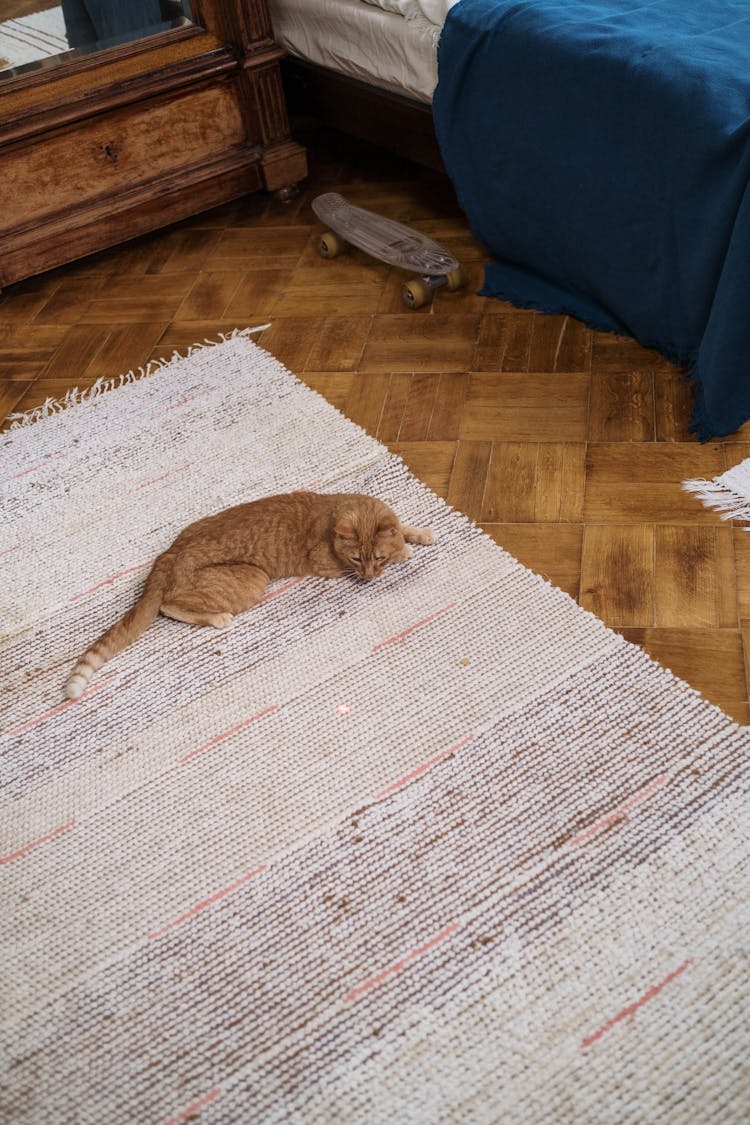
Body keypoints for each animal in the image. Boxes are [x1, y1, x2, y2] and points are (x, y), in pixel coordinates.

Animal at [64, 490, 434, 697]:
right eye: (358, 559)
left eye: (376, 558)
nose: (370, 577)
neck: (331, 514)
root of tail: (167, 555)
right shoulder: (328, 564)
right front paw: (404, 550)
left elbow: (402, 527)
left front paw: (418, 535)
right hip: (253, 579)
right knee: (169, 606)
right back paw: (218, 618)